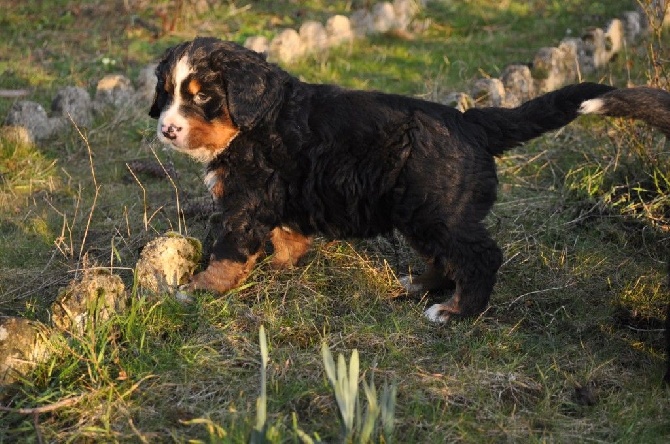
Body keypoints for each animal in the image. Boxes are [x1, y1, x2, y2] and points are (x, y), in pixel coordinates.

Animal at [151, 37, 670, 322]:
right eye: (167, 92)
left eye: (203, 97)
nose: (167, 129)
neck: (256, 120)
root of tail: (470, 122)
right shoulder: (276, 193)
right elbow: (286, 234)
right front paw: (282, 266)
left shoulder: (247, 198)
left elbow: (229, 250)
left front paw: (199, 289)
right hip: (420, 211)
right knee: (446, 257)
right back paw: (421, 285)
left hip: (436, 211)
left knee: (479, 255)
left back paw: (457, 311)